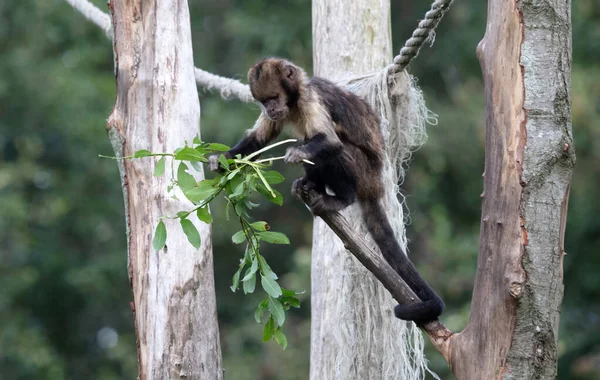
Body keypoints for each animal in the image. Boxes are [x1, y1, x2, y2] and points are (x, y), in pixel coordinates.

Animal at [209, 57, 442, 324]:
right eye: (263, 101)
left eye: (274, 97)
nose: (269, 109)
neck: (294, 101)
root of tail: (376, 185)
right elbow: (257, 140)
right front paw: (221, 161)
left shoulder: (311, 98)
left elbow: (329, 142)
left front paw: (296, 153)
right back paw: (310, 185)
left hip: (364, 173)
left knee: (336, 150)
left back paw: (340, 198)